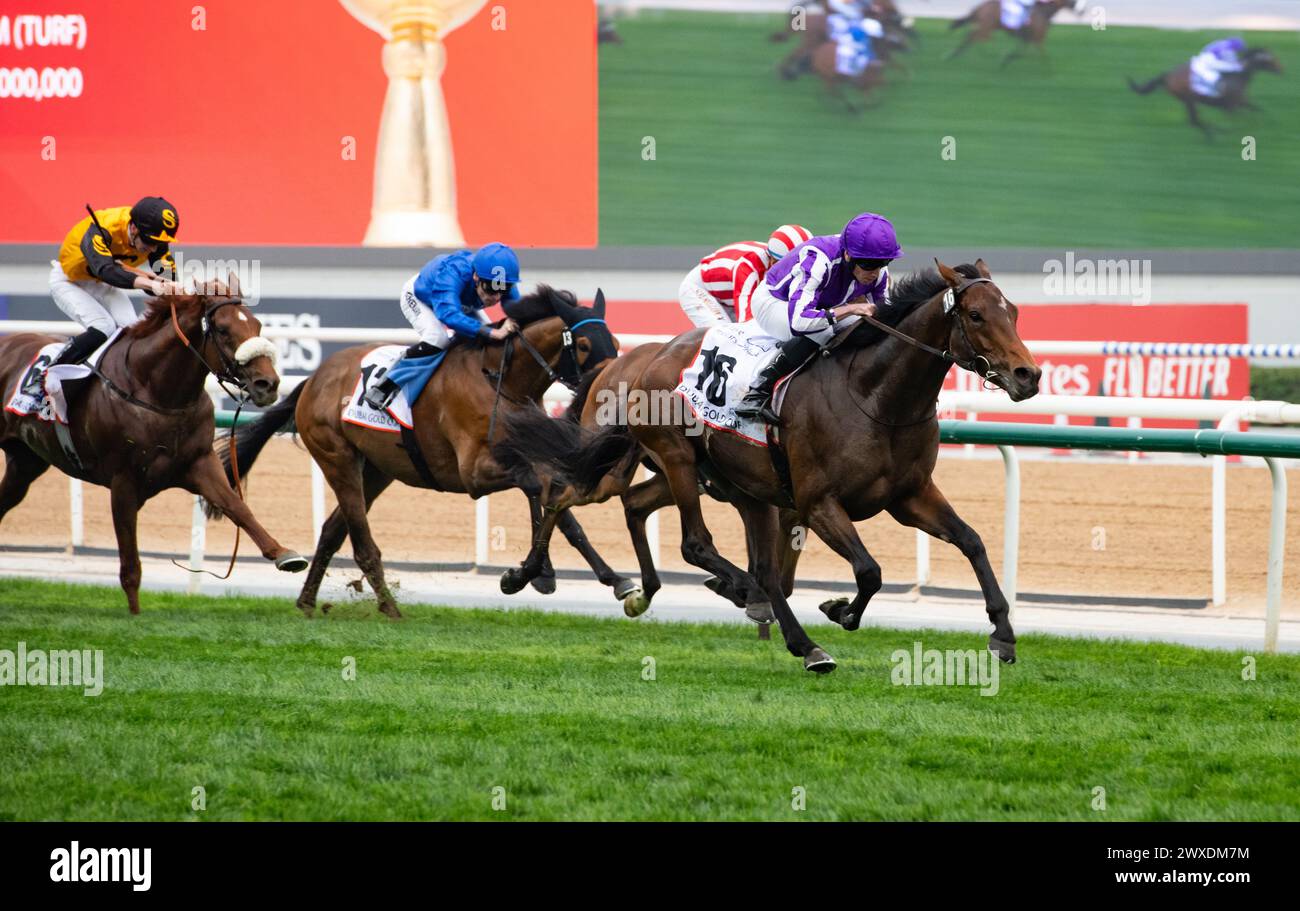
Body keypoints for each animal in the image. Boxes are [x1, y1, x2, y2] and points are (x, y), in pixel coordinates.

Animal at [0, 274, 306, 615]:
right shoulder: (123, 481)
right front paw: (135, 616)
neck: (157, 392)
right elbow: (130, 562)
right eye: (223, 329)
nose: (268, 384)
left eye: (257, 325)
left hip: (25, 464)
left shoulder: (199, 462)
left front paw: (284, 554)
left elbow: (237, 507)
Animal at [491, 259, 1040, 670]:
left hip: (728, 484)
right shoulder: (818, 502)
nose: (1027, 375)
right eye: (975, 315)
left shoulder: (909, 496)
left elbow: (971, 541)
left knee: (642, 509)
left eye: (1013, 311)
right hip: (670, 459)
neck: (876, 397)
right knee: (679, 536)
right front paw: (840, 610)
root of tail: (642, 359)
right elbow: (868, 570)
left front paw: (1003, 633)